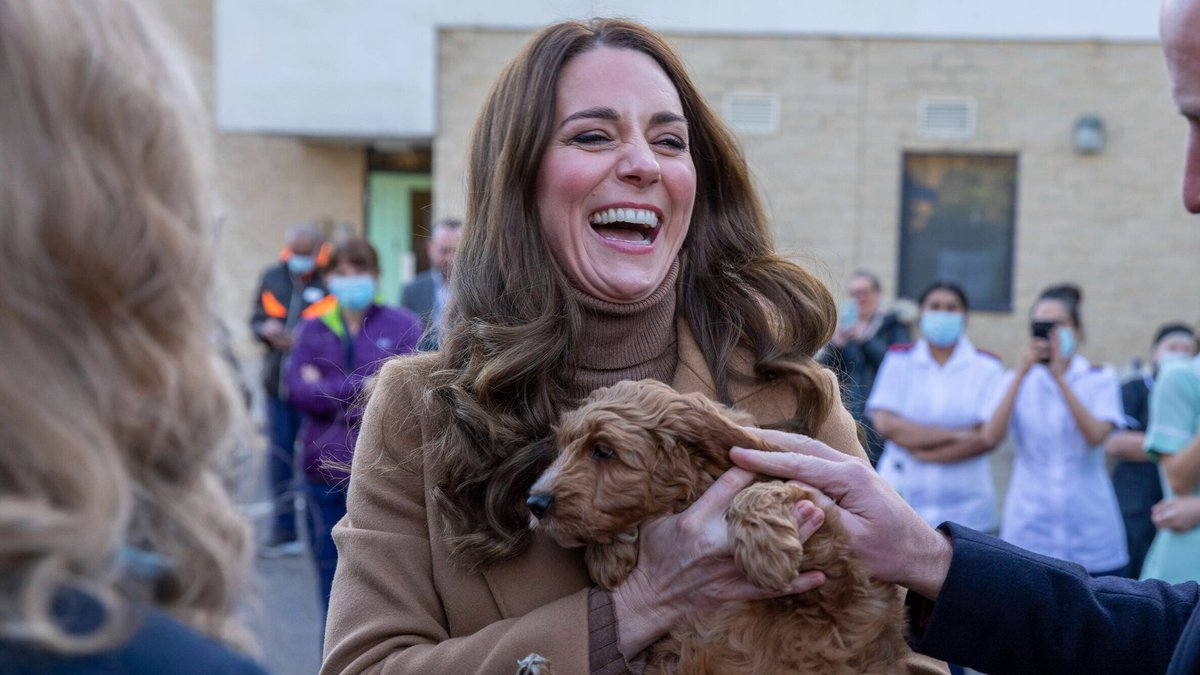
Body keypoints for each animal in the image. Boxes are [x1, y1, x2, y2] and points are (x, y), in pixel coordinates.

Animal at [528, 379, 907, 672]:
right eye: (563, 447)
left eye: (603, 450)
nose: (535, 503)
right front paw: (609, 556)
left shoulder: (844, 583)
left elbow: (767, 488)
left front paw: (767, 555)